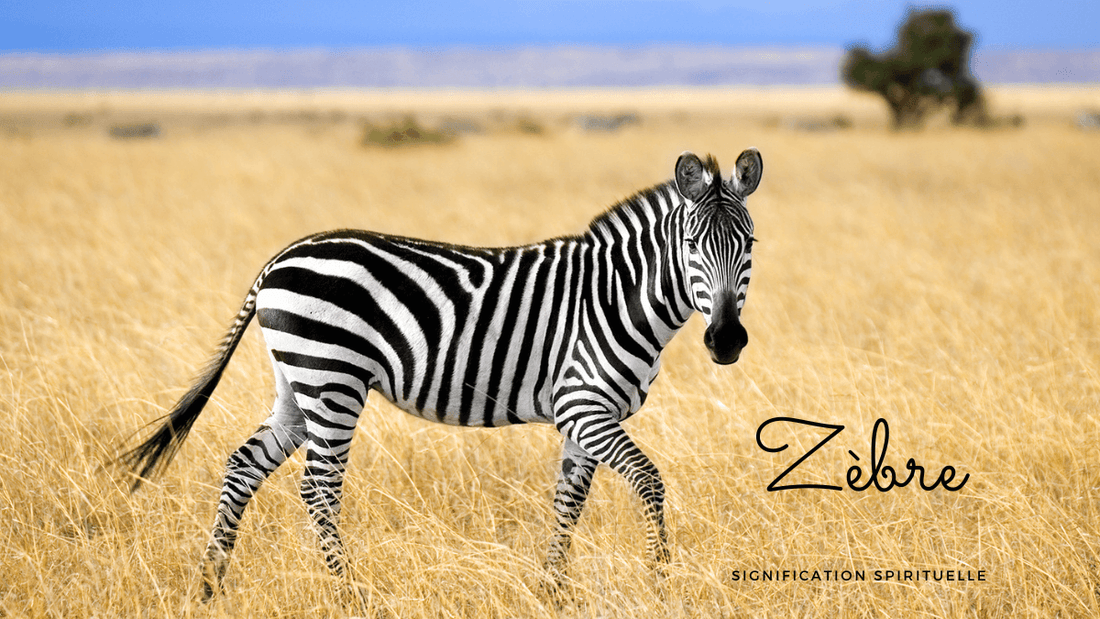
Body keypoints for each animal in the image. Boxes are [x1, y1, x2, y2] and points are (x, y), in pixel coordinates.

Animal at [118, 149, 763, 599]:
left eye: (750, 244)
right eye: (692, 244)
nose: (727, 340)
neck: (615, 296)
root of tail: (279, 258)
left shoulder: (584, 418)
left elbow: (568, 502)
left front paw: (552, 591)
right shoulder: (583, 404)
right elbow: (650, 483)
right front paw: (662, 583)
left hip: (297, 385)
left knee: (243, 466)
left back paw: (210, 584)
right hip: (333, 379)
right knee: (319, 488)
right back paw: (350, 594)